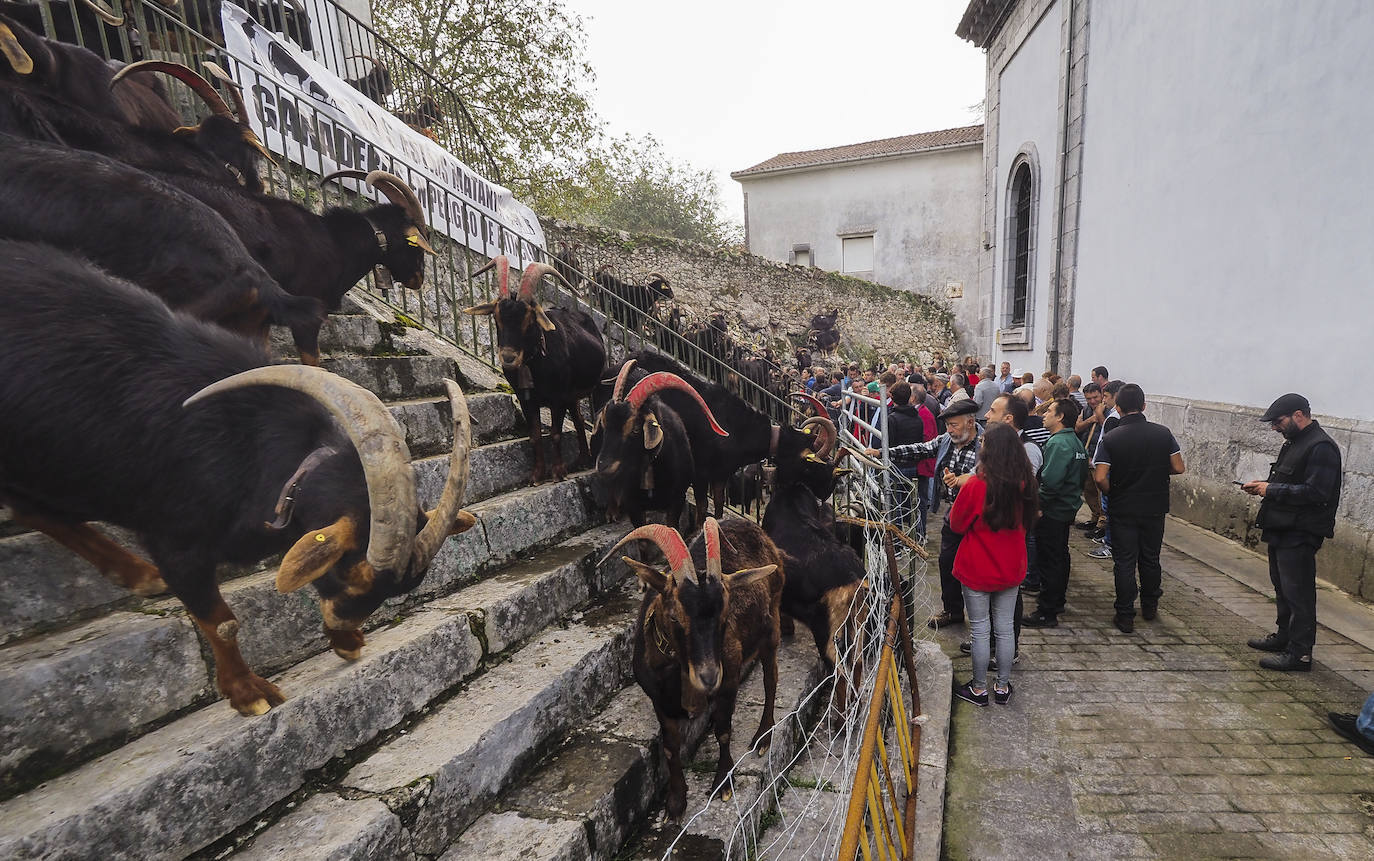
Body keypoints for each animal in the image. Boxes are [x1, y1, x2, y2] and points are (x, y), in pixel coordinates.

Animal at [0, 238, 478, 719]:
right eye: (351, 572)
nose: (342, 622)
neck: (246, 446)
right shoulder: (174, 540)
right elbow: (223, 622)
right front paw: (249, 692)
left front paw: (344, 642)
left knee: (33, 508)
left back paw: (136, 574)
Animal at [464, 255, 604, 486]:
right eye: (496, 317)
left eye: (529, 319)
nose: (509, 357)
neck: (535, 363)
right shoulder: (525, 398)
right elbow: (535, 436)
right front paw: (537, 475)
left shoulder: (558, 396)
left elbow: (555, 433)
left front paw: (558, 472)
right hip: (572, 395)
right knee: (577, 417)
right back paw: (582, 459)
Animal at [599, 362, 736, 532]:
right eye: (605, 423)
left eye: (636, 429)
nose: (604, 466)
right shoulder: (633, 504)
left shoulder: (677, 499)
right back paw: (611, 513)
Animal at [601, 519, 785, 823]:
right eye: (674, 616)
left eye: (725, 615)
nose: (708, 677)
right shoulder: (659, 699)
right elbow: (670, 746)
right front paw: (675, 802)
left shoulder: (729, 681)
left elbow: (724, 731)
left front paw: (723, 782)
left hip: (772, 627)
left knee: (771, 681)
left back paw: (763, 736)